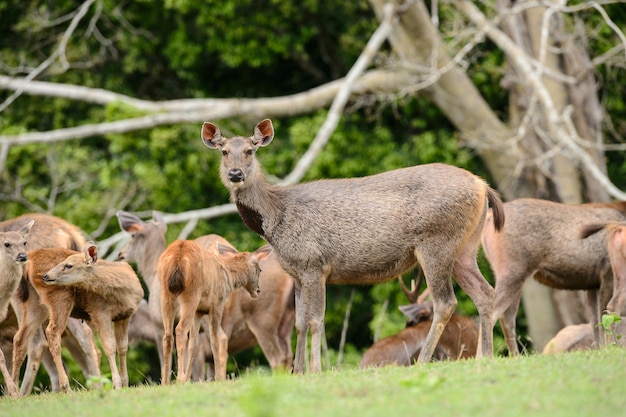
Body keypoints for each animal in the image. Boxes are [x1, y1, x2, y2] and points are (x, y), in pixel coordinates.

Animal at [39, 240, 144, 390]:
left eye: (69, 265)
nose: (46, 276)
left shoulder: (125, 316)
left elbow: (123, 347)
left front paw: (125, 383)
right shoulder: (100, 313)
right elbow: (110, 347)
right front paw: (116, 384)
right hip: (59, 302)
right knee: (52, 334)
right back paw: (66, 386)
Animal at [200, 118, 502, 374]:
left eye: (250, 150)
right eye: (224, 151)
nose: (235, 174)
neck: (276, 218)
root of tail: (482, 186)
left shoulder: (314, 264)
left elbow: (315, 320)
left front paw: (315, 370)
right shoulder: (296, 273)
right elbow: (299, 323)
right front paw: (298, 372)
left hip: (436, 242)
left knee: (445, 301)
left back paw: (425, 359)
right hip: (465, 248)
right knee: (485, 292)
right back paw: (484, 356)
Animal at [478, 198, 624, 354]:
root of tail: (489, 217)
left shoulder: (592, 284)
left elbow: (595, 322)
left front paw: (600, 349)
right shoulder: (607, 273)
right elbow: (605, 318)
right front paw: (609, 348)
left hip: (515, 276)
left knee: (507, 318)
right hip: (513, 271)